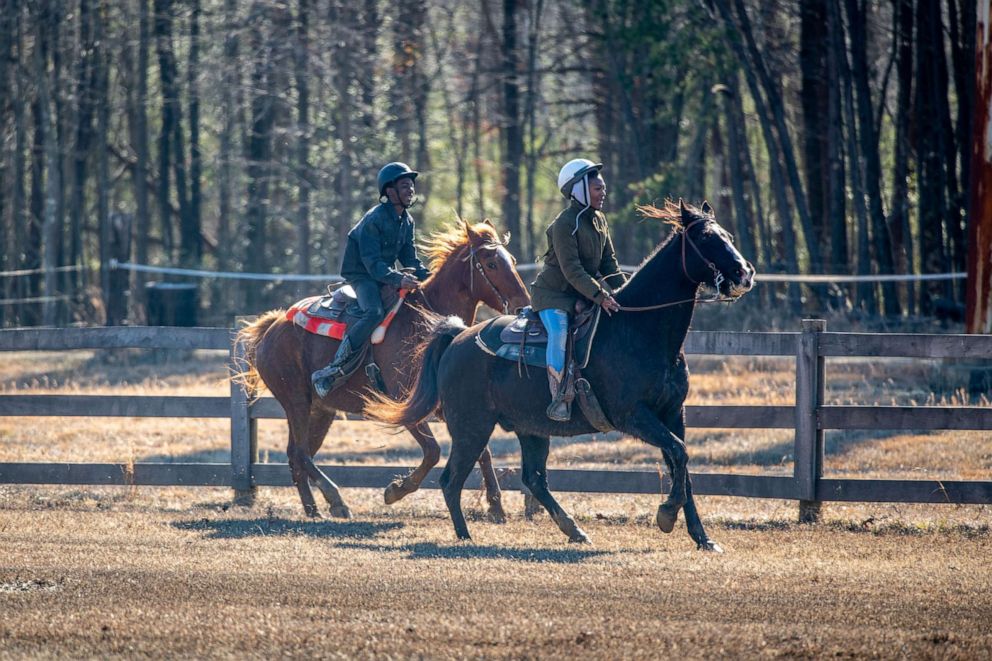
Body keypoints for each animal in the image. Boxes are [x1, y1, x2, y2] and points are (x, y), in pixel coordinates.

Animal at [235, 222, 532, 520]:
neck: (427, 324)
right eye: (491, 263)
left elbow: (482, 451)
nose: (522, 306)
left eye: (512, 260)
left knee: (297, 454)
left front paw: (496, 505)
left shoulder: (447, 405)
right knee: (300, 452)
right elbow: (433, 451)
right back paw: (336, 500)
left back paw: (314, 508)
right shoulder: (404, 403)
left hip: (320, 409)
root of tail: (272, 327)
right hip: (296, 401)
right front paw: (396, 490)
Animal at [368, 201, 756, 552]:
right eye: (706, 238)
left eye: (727, 235)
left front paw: (702, 537)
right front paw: (665, 516)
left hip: (529, 428)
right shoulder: (633, 416)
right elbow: (678, 454)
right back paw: (465, 535)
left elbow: (682, 463)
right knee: (451, 479)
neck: (638, 328)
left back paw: (574, 530)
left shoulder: (673, 413)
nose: (745, 273)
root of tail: (457, 338)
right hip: (471, 427)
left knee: (534, 479)